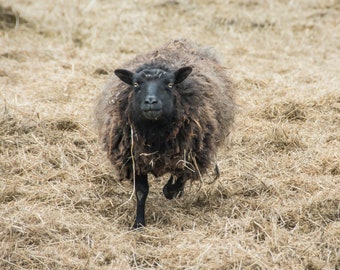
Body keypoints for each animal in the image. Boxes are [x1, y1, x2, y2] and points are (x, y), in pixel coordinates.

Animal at [94, 39, 235, 228]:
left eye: (169, 84)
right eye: (136, 84)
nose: (151, 101)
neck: (155, 133)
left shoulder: (192, 154)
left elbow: (179, 179)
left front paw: (172, 191)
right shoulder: (135, 158)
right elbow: (141, 192)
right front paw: (138, 224)